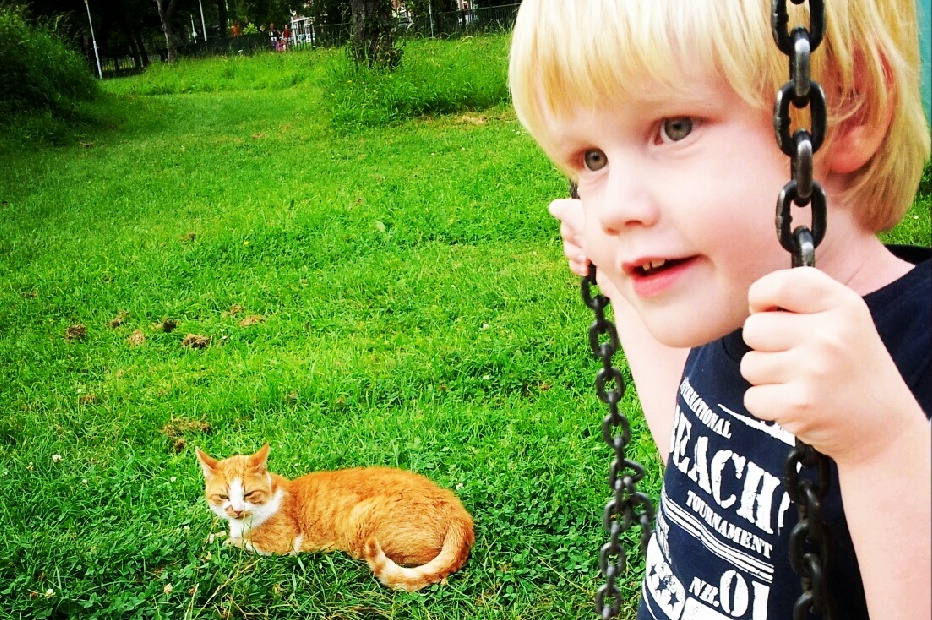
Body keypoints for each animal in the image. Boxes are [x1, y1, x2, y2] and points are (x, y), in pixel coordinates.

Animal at [195, 444, 474, 591]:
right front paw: (215, 535)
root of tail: (459, 512)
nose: (236, 509)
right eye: (223, 497)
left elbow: (240, 542)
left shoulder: (281, 546)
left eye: (249, 494)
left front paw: (224, 541)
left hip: (361, 525)